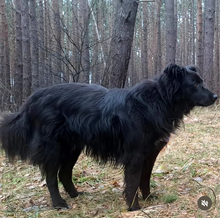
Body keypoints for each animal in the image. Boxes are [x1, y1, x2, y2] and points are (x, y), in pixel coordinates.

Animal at [0, 63, 217, 210]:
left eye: (201, 82)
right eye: (195, 84)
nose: (215, 96)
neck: (157, 101)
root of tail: (32, 99)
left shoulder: (150, 154)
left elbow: (145, 178)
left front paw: (148, 198)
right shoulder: (136, 155)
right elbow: (133, 181)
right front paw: (134, 207)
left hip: (72, 148)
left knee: (64, 173)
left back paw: (75, 195)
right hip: (53, 148)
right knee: (52, 177)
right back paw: (59, 203)